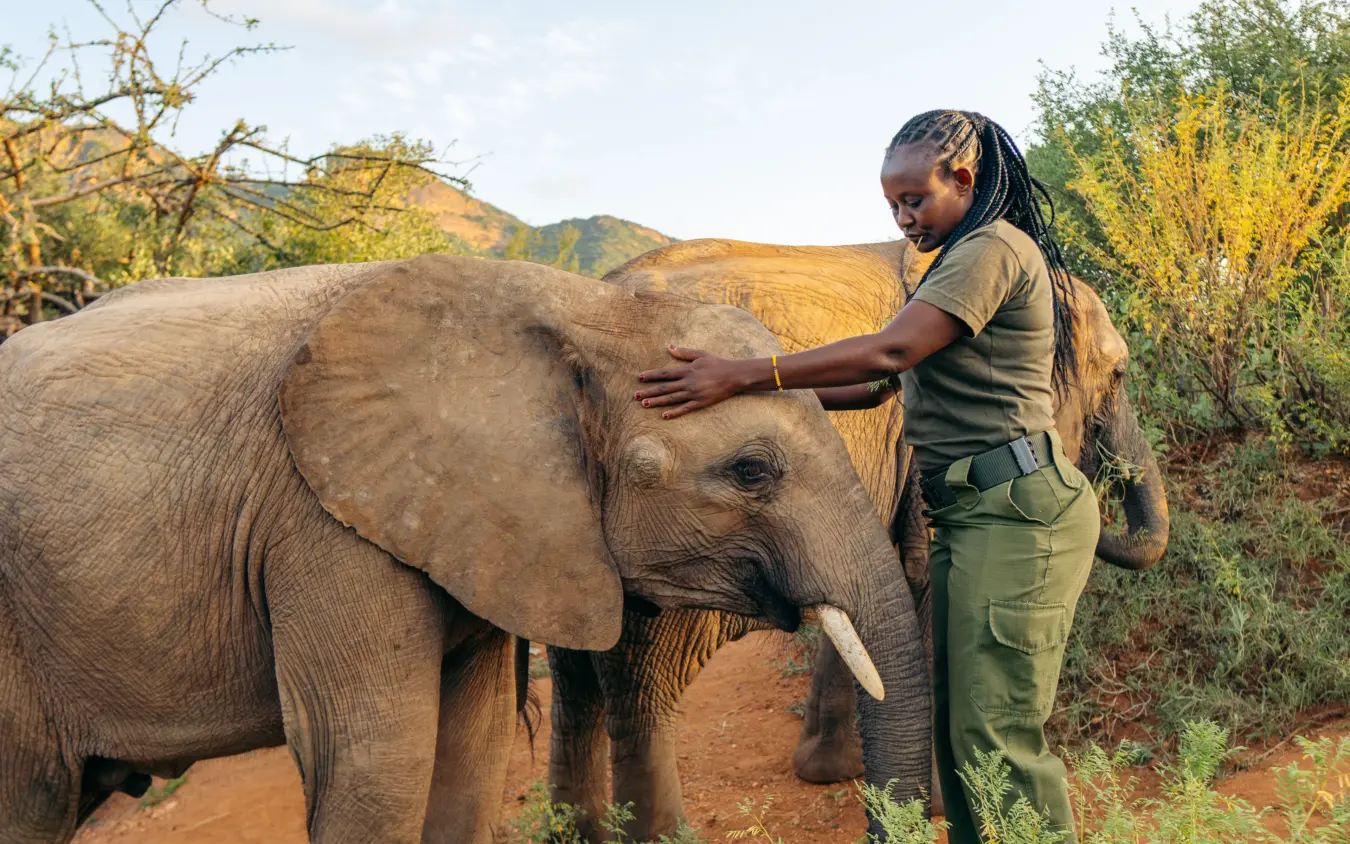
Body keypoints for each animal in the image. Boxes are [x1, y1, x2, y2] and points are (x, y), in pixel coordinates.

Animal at [0, 254, 931, 843]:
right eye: (751, 471)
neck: (581, 313)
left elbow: (469, 755)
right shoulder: (324, 524)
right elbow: (375, 766)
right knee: (30, 800)